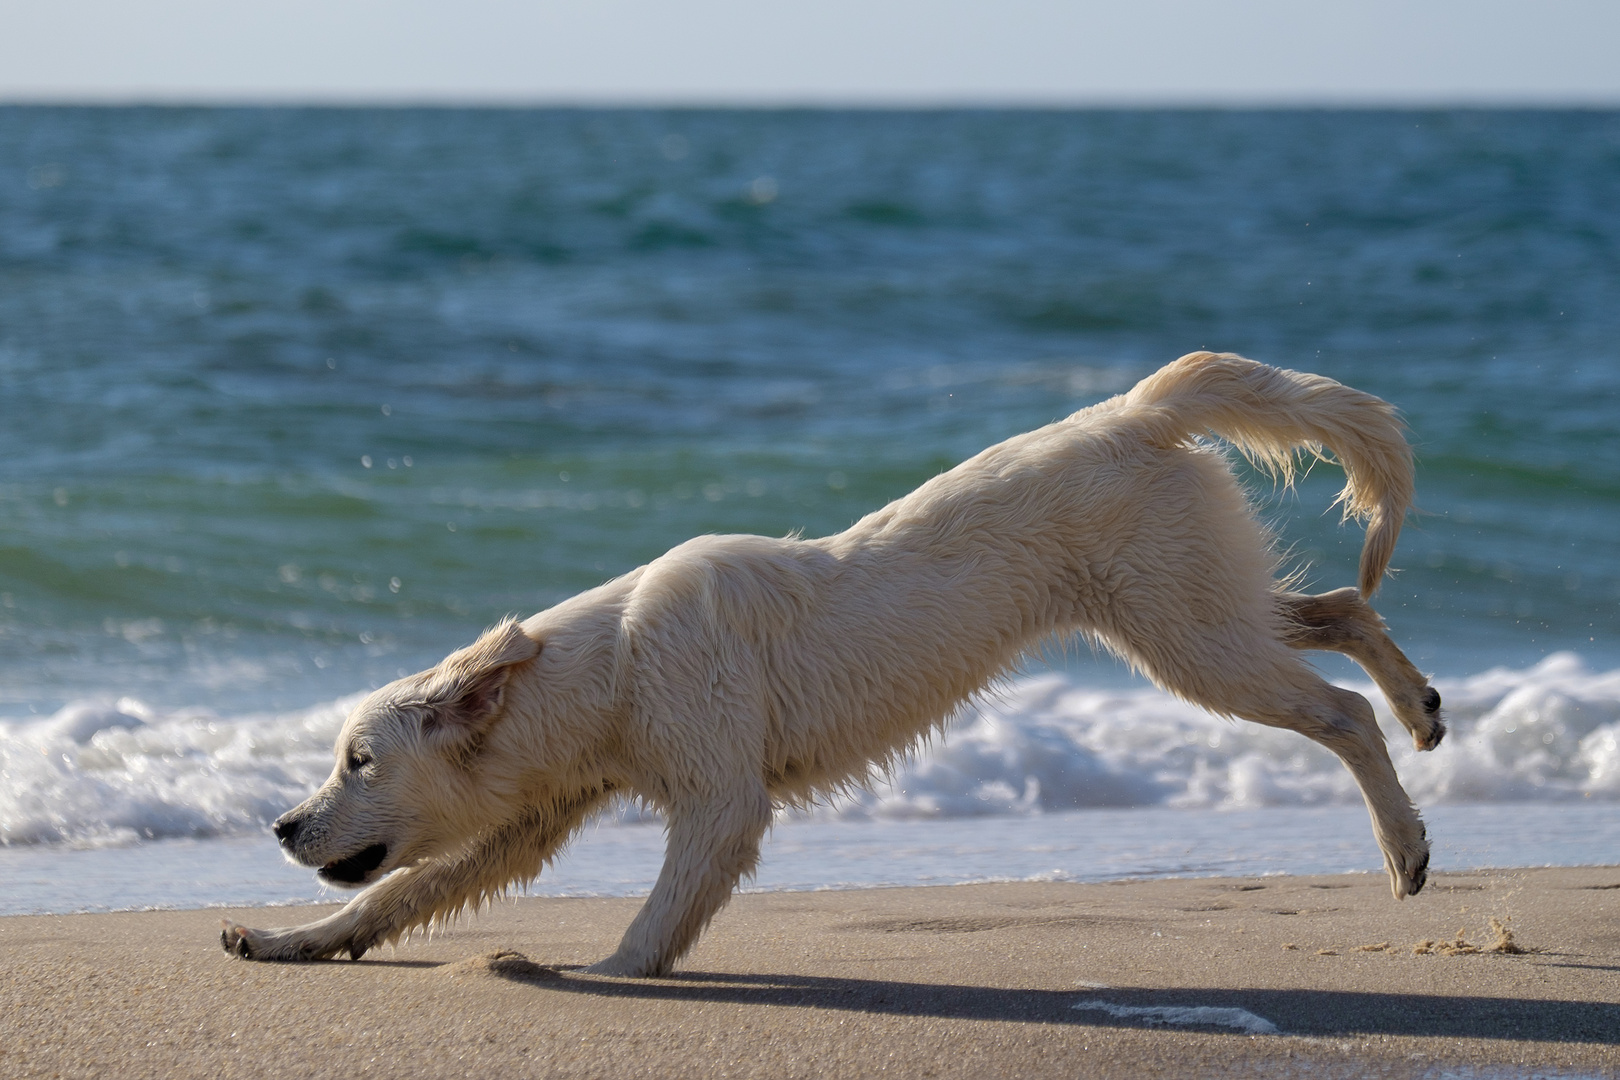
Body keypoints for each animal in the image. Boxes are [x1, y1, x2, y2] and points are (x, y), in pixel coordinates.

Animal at [225, 354, 1445, 977]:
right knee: (1342, 607)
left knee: (1339, 713)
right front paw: (284, 939)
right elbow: (402, 894)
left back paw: (1405, 844)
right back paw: (1427, 706)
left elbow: (656, 918)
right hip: (1198, 610)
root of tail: (1134, 408)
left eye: (357, 760)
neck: (609, 668)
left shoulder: (721, 802)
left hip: (1190, 641)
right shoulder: (536, 817)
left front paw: (594, 972)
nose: (281, 825)